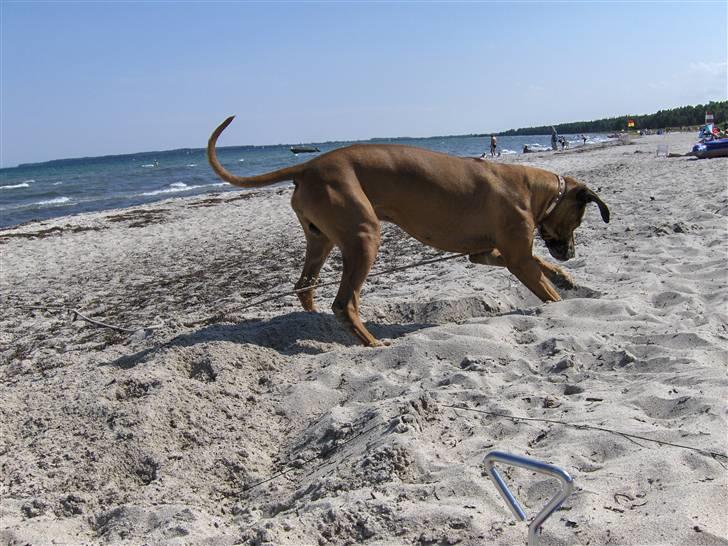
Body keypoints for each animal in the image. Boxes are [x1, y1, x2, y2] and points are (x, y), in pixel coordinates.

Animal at [208, 116, 612, 344]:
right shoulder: (516, 257)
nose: (572, 253)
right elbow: (545, 288)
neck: (533, 188)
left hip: (320, 240)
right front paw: (560, 296)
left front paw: (565, 277)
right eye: (578, 221)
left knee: (304, 285)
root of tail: (308, 165)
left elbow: (543, 268)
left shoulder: (487, 253)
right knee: (344, 303)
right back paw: (370, 342)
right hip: (365, 237)